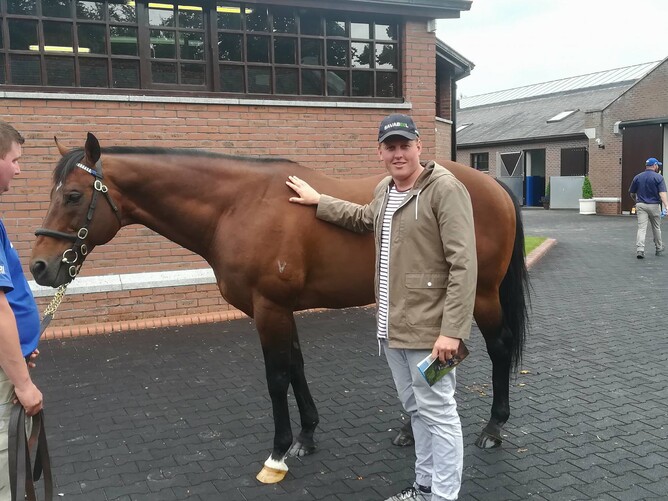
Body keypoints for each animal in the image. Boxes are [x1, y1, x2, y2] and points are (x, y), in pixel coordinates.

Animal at [29, 133, 528, 483]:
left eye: (73, 196)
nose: (39, 266)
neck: (238, 206)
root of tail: (494, 187)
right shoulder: (279, 310)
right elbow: (296, 367)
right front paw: (306, 436)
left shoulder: (269, 308)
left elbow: (276, 377)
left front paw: (278, 453)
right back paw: (411, 429)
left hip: (481, 295)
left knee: (500, 348)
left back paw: (493, 428)